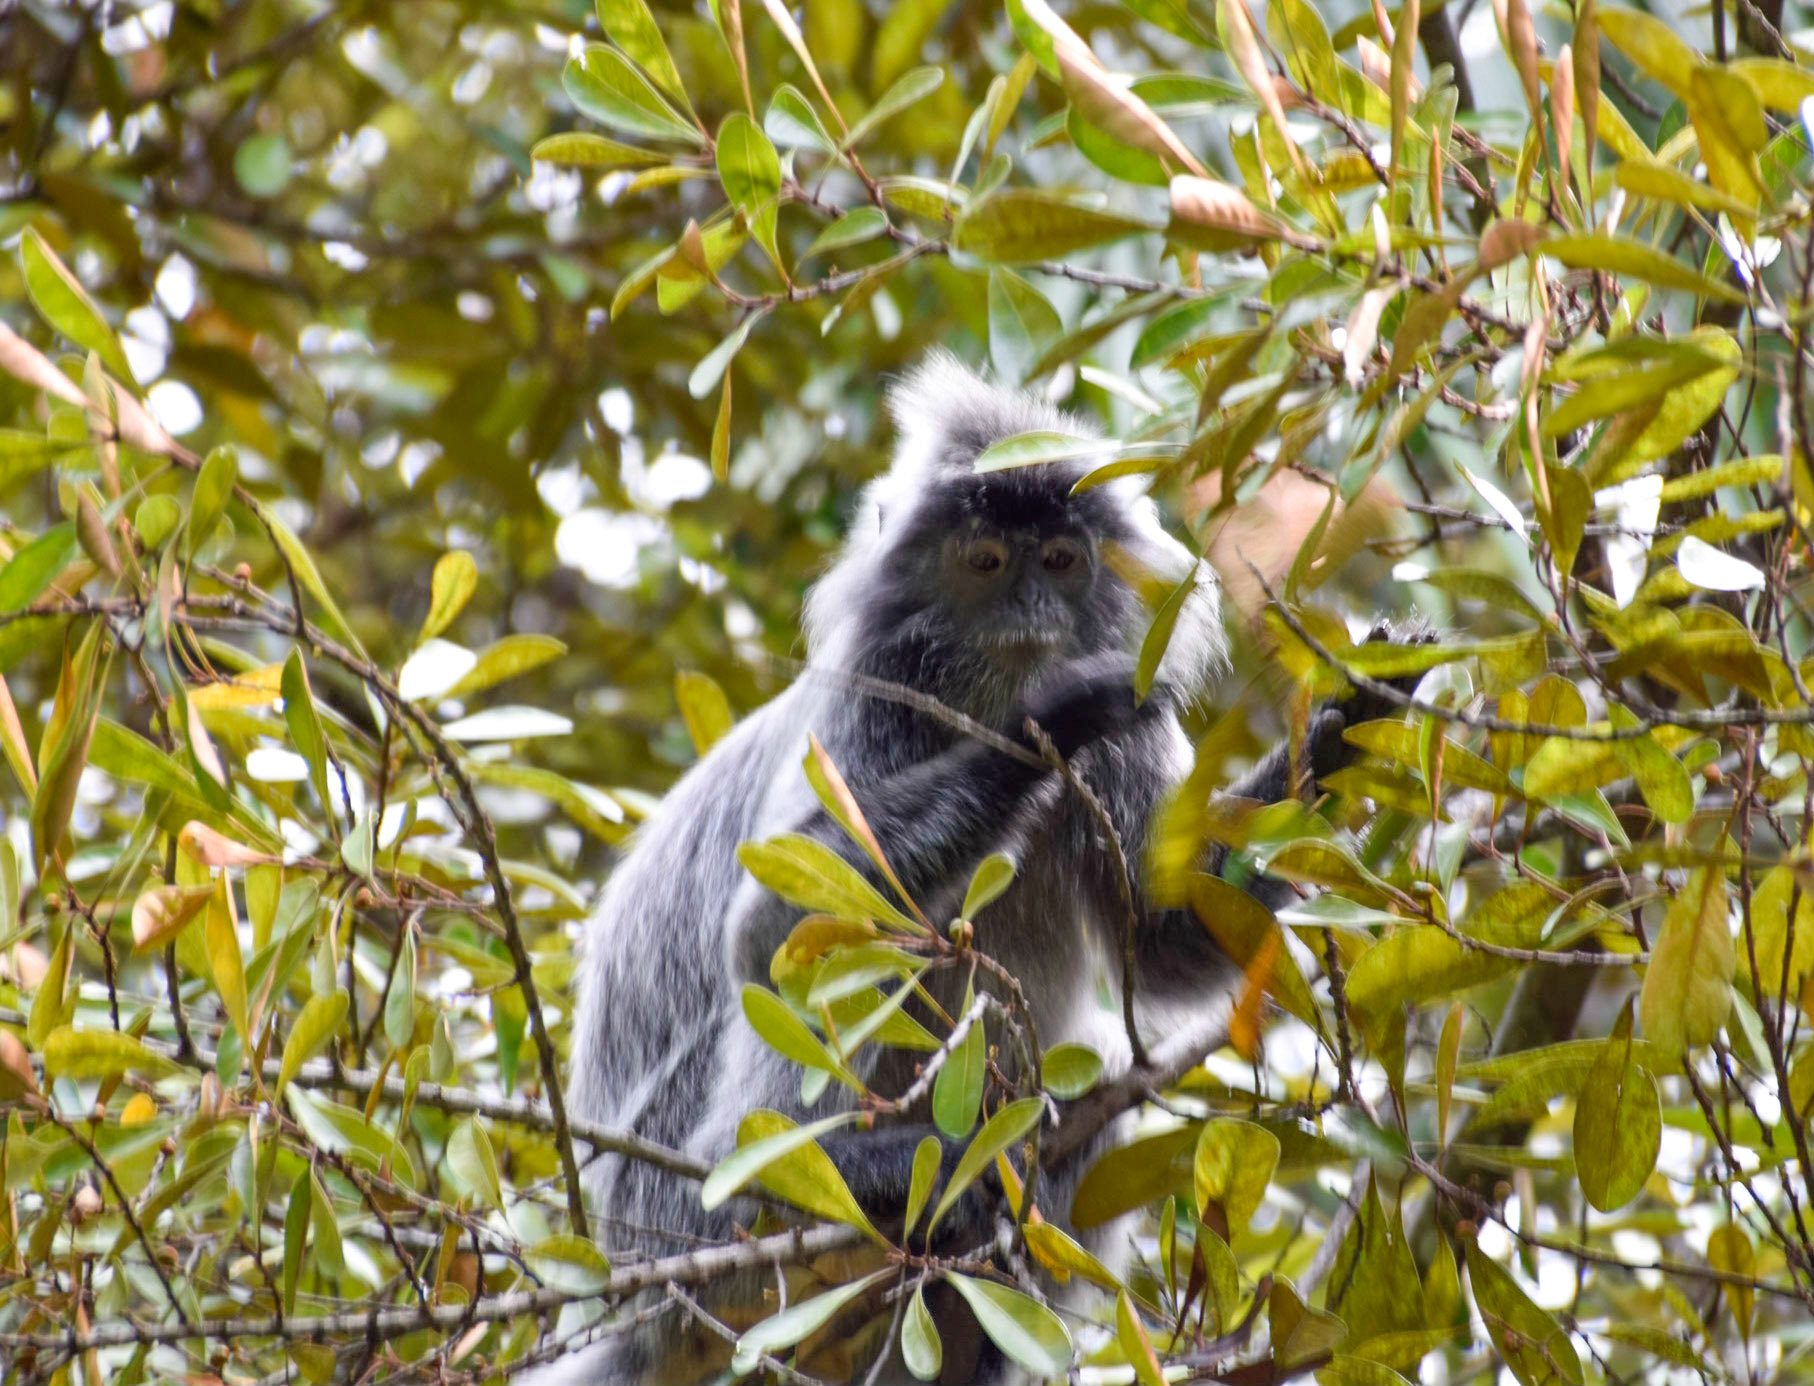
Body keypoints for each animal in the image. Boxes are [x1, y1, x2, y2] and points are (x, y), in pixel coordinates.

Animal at [545, 354, 1405, 1385]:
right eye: (987, 564)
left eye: (1062, 563)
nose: (1032, 619)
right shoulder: (866, 709)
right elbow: (772, 928)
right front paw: (1045, 725)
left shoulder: (1137, 727)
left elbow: (1167, 940)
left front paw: (1340, 733)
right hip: (670, 1202)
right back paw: (821, 1177)